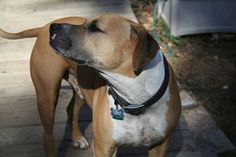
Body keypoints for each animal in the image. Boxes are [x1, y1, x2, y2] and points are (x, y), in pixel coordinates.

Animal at [0, 14, 181, 156]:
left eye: (95, 28)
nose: (54, 28)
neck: (136, 99)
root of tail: (43, 27)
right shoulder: (103, 147)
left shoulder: (160, 145)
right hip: (47, 95)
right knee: (47, 136)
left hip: (82, 89)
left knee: (72, 108)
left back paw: (77, 137)